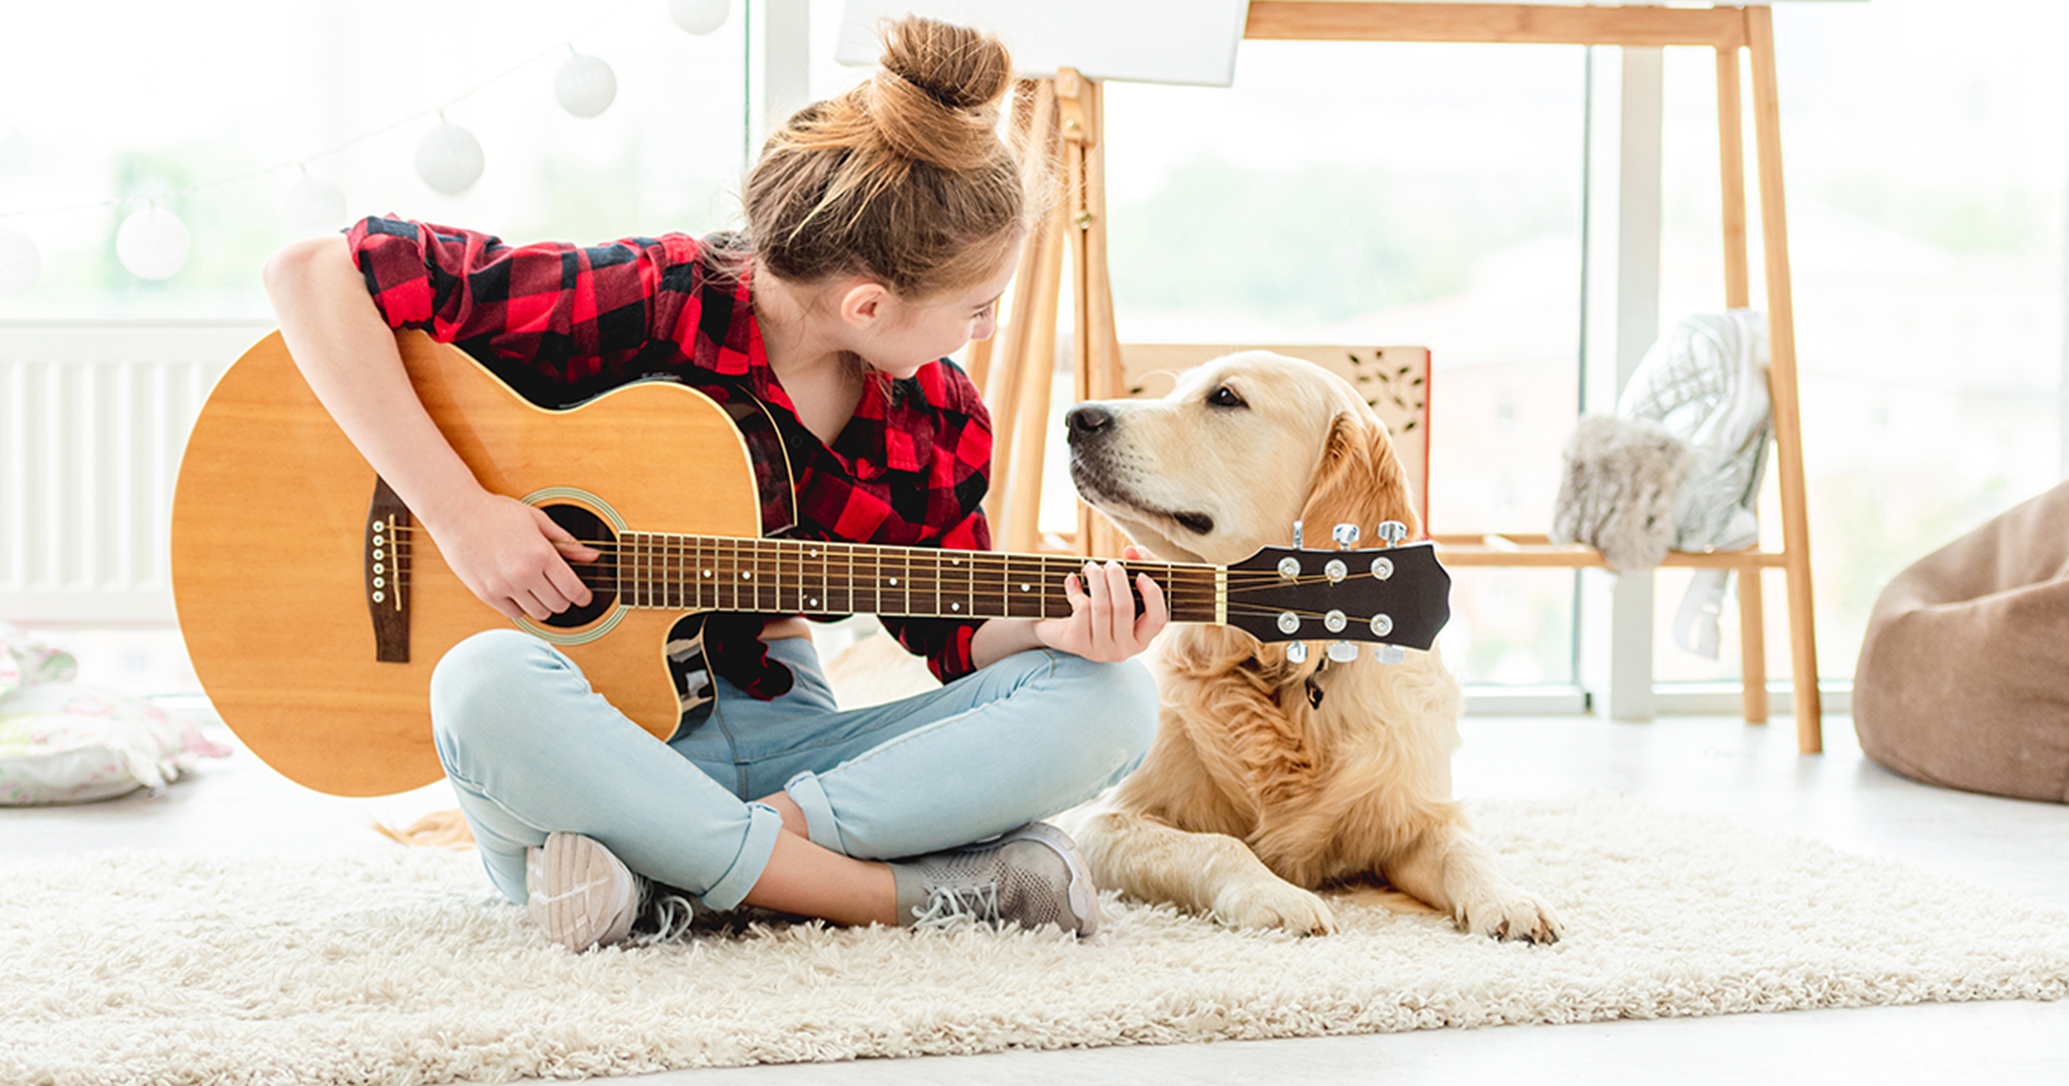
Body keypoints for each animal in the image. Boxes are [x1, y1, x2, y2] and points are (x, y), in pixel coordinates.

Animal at [1059, 349, 1555, 939]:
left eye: (1225, 397)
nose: (1076, 417)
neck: (1282, 669)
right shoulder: (1099, 820)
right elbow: (1216, 844)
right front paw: (1274, 896)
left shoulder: (1413, 816)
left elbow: (1467, 850)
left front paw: (1509, 899)